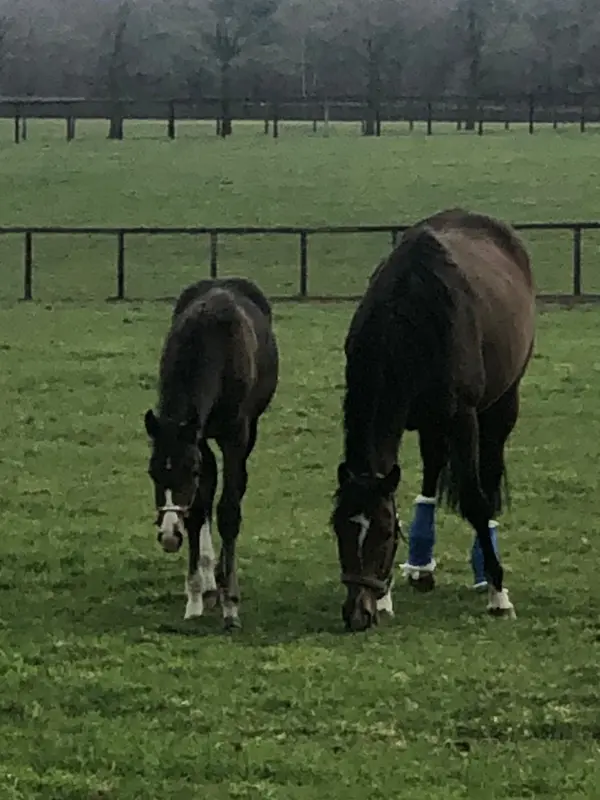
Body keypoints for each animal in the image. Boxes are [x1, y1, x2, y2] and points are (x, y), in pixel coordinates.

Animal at [144, 278, 280, 628]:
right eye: (153, 472)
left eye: (188, 470)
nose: (168, 535)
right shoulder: (200, 438)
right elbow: (199, 505)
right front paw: (194, 596)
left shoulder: (235, 436)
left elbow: (229, 510)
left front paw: (231, 603)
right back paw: (208, 581)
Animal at [332, 209, 536, 636]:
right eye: (340, 527)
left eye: (385, 533)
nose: (357, 614)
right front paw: (386, 597)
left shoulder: (463, 418)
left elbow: (476, 500)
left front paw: (499, 595)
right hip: (430, 422)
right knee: (431, 469)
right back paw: (421, 567)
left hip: (501, 405)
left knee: (488, 479)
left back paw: (484, 573)